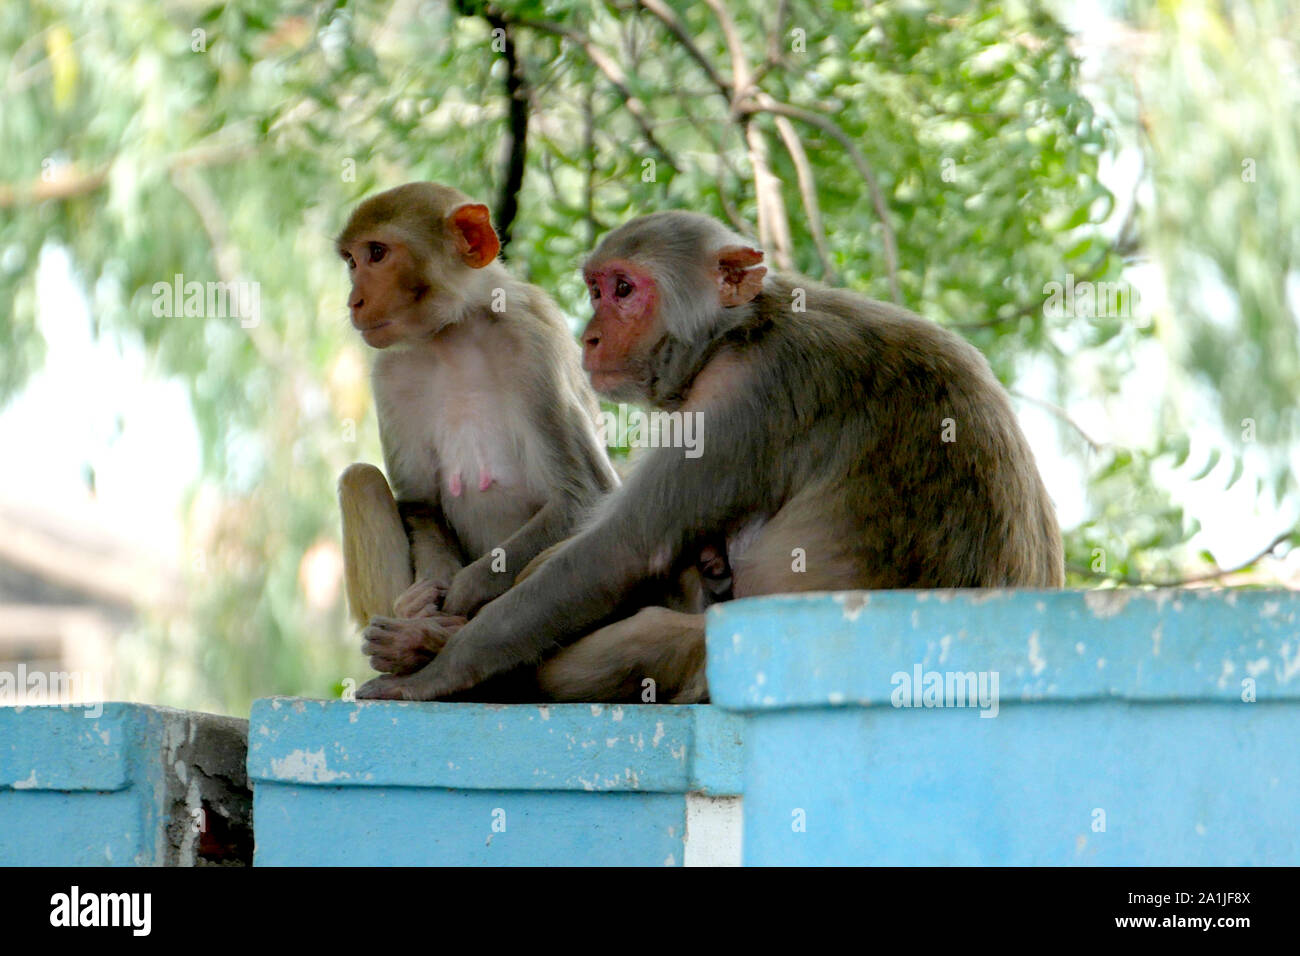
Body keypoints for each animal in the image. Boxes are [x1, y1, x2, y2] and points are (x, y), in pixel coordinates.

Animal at [335, 183, 618, 676]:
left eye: (377, 253)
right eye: (352, 260)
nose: (354, 301)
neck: (454, 333)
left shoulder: (532, 347)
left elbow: (583, 496)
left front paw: (450, 606)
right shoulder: (390, 373)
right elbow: (422, 505)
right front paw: (420, 611)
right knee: (361, 480)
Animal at [351, 209, 1060, 702]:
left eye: (624, 289)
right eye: (596, 289)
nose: (589, 337)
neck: (738, 331)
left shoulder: (741, 396)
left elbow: (622, 551)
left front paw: (440, 666)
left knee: (653, 633)